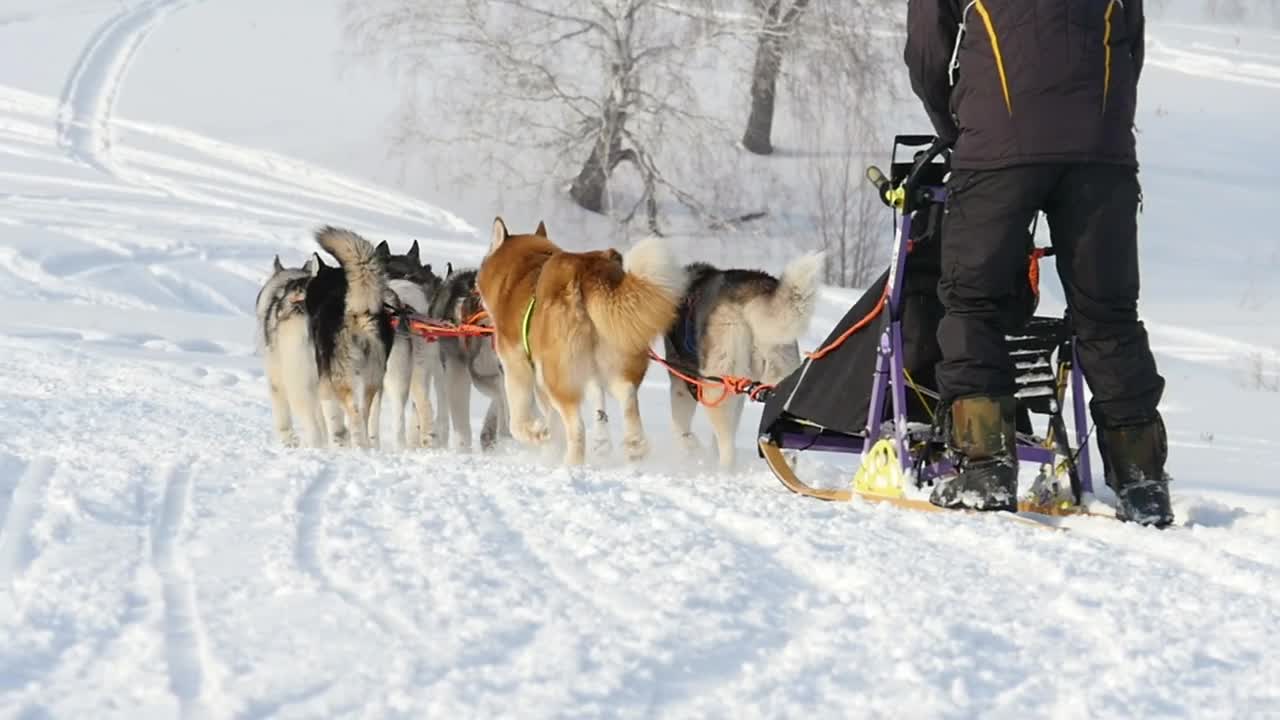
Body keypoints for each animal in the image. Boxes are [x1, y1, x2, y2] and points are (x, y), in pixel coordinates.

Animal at [305, 225, 394, 448]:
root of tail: (358, 311)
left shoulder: (325, 383)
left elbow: (333, 421)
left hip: (342, 380)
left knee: (355, 415)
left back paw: (359, 447)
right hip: (373, 380)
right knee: (366, 415)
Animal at [476, 219, 686, 466]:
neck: (519, 272)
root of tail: (586, 270)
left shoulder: (516, 365)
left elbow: (519, 421)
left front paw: (538, 435)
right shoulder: (587, 372)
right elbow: (593, 405)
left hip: (555, 376)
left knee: (576, 426)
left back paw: (571, 465)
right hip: (615, 357)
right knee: (627, 394)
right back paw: (635, 444)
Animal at [665, 253, 824, 471]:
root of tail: (753, 291)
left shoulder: (681, 383)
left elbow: (680, 427)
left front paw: (692, 449)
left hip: (718, 385)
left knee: (728, 447)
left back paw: (723, 472)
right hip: (777, 372)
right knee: (787, 450)